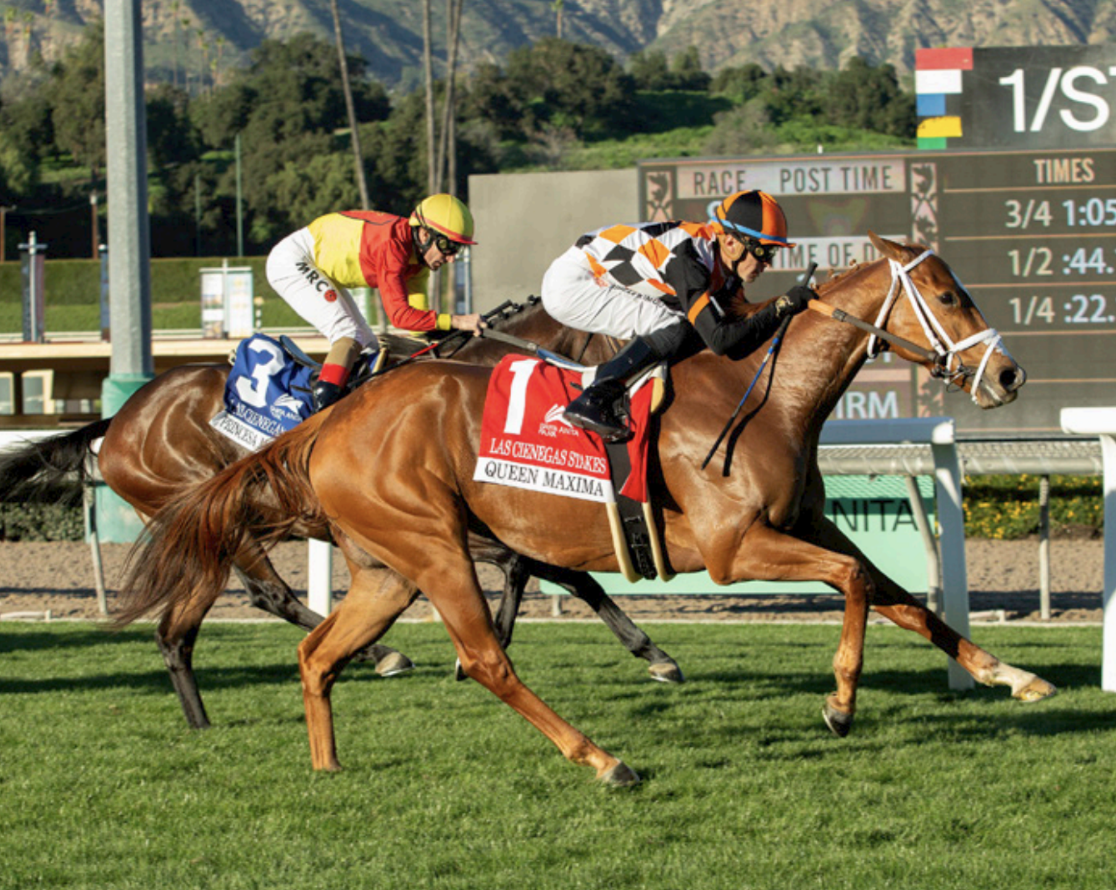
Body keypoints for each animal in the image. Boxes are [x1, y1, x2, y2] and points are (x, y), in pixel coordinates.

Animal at [0, 299, 682, 731]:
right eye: (626, 333)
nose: (630, 400)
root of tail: (120, 418)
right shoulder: (448, 525)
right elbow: (557, 570)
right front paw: (651, 653)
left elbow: (546, 569)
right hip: (220, 520)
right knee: (269, 595)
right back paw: (377, 654)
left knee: (218, 615)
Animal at [116, 234, 1056, 786]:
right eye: (949, 295)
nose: (1011, 374)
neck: (765, 393)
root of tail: (329, 422)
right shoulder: (733, 548)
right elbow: (856, 588)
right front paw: (840, 704)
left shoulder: (801, 525)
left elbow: (898, 597)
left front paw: (1012, 675)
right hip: (433, 547)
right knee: (483, 661)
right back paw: (603, 760)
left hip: (388, 567)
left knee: (315, 655)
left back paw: (326, 765)